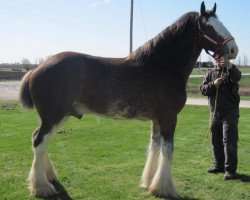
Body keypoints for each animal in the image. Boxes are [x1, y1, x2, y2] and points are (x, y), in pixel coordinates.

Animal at [19, 1, 238, 198]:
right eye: (209, 27)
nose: (234, 49)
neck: (161, 66)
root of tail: (35, 69)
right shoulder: (169, 118)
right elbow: (168, 150)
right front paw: (165, 188)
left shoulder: (157, 120)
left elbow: (155, 147)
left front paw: (149, 183)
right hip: (53, 117)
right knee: (39, 141)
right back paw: (42, 187)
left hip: (59, 116)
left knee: (39, 140)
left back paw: (48, 177)